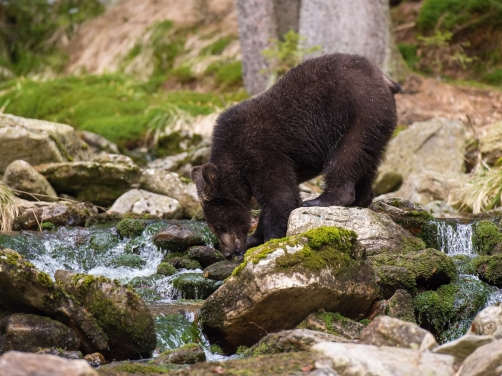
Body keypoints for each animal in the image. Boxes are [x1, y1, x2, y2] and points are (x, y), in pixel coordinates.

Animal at [190, 53, 402, 260]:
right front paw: (254, 238)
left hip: (358, 115)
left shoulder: (262, 150)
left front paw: (268, 241)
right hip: (377, 126)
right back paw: (361, 199)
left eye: (219, 227)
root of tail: (383, 78)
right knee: (367, 163)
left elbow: (281, 197)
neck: (236, 163)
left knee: (346, 157)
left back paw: (321, 200)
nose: (227, 252)